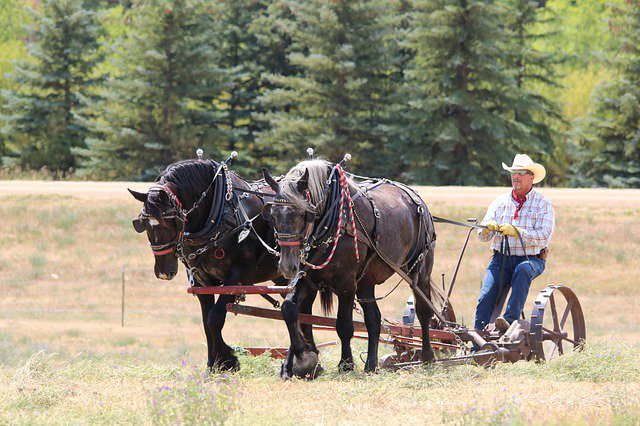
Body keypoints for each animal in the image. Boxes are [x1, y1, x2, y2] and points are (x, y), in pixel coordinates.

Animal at [129, 158, 322, 372]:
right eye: (142, 224)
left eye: (173, 222)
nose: (164, 272)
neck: (219, 215)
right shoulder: (202, 282)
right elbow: (206, 322)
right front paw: (212, 365)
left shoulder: (238, 276)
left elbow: (215, 318)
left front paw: (227, 359)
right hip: (283, 277)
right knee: (301, 312)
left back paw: (296, 361)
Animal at [262, 159, 442, 379]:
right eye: (273, 215)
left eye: (304, 214)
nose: (288, 266)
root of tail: (414, 197)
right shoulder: (306, 280)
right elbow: (290, 311)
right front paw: (300, 360)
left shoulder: (346, 283)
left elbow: (344, 325)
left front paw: (345, 363)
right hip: (366, 281)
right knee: (373, 319)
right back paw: (372, 364)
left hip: (420, 271)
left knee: (424, 311)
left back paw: (427, 356)